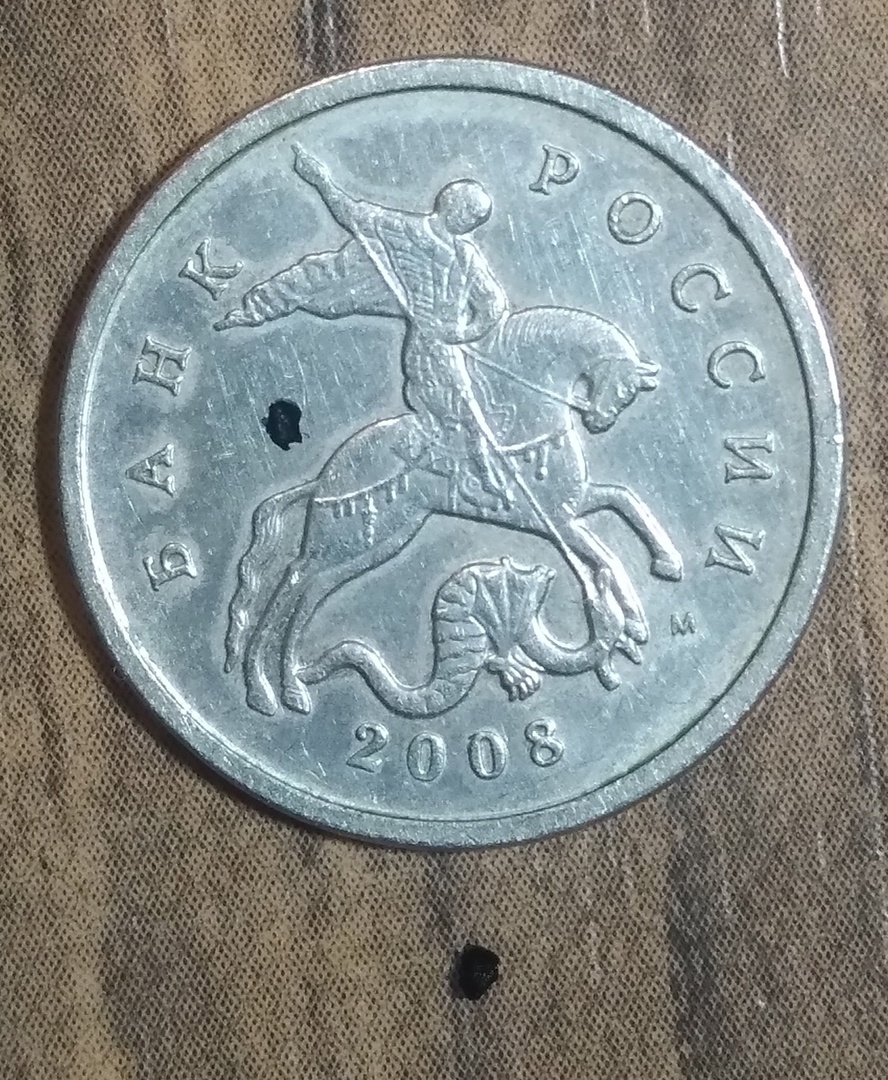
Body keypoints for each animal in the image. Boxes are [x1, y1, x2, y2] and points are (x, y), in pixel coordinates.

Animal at [225, 305, 683, 716]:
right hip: (348, 538)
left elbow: (623, 501)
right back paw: (274, 689)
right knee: (294, 584)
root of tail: (325, 478)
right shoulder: (557, 519)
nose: (600, 422)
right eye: (623, 388)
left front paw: (664, 566)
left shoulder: (571, 505)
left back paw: (282, 687)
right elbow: (605, 552)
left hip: (379, 541)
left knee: (306, 589)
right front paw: (634, 619)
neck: (526, 417)